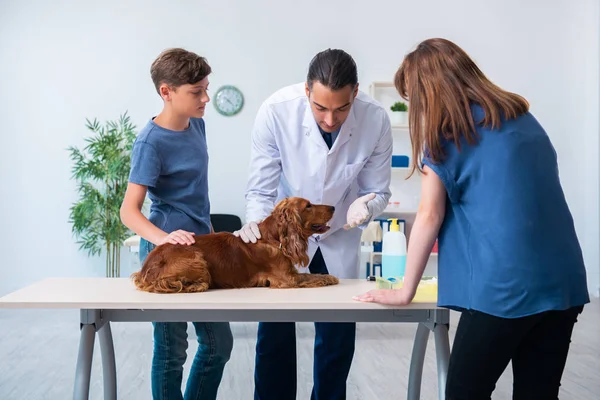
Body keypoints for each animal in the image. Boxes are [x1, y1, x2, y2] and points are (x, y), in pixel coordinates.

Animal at [129, 197, 340, 294]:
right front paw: (330, 277)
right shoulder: (287, 279)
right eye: (308, 205)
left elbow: (313, 275)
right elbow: (313, 277)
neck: (274, 238)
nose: (333, 207)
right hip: (197, 258)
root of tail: (145, 270)